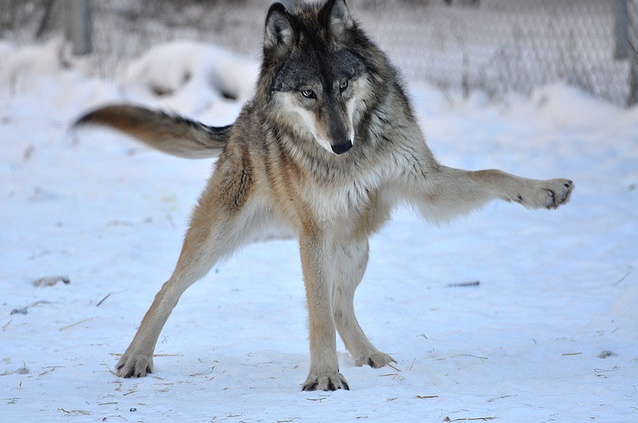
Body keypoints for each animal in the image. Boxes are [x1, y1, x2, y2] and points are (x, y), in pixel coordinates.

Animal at [75, 0, 576, 392]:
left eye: (342, 86)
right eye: (307, 93)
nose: (341, 144)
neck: (350, 159)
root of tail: (241, 118)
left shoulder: (424, 182)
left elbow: (493, 174)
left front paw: (545, 190)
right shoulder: (313, 234)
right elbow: (314, 313)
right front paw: (324, 378)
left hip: (355, 246)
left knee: (340, 304)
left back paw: (369, 355)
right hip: (222, 242)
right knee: (168, 288)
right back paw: (137, 358)